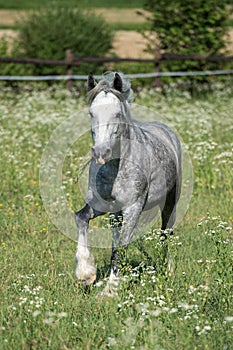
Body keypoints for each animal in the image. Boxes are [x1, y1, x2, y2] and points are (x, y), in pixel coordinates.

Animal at [74, 71, 182, 288]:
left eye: (117, 114)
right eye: (91, 113)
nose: (101, 152)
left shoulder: (133, 208)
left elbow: (121, 247)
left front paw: (111, 288)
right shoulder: (101, 206)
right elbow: (81, 218)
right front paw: (86, 273)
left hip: (170, 202)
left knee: (166, 233)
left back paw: (168, 270)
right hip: (116, 214)